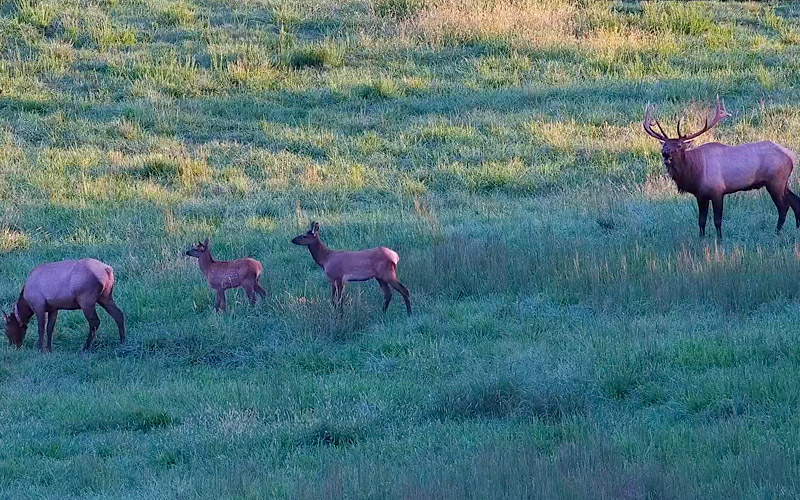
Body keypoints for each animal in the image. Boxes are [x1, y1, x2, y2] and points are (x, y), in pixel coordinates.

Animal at [643, 97, 800, 239]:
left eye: (679, 145)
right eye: (664, 145)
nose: (665, 154)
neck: (695, 173)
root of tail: (791, 155)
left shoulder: (718, 191)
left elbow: (717, 221)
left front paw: (719, 240)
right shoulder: (700, 195)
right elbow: (701, 221)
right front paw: (701, 239)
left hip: (775, 181)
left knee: (784, 206)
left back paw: (777, 233)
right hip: (782, 182)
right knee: (795, 200)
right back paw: (796, 228)